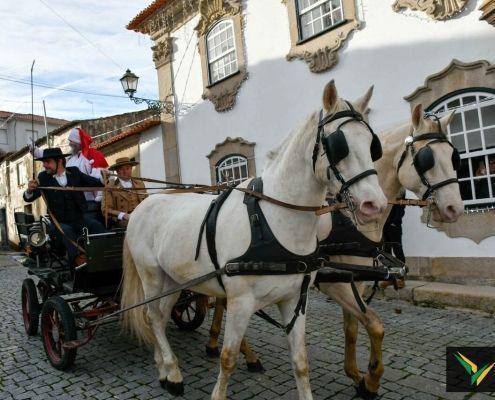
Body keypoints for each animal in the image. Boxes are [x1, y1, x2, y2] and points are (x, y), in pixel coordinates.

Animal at [120, 81, 388, 400]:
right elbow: (228, 358)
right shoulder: (241, 301)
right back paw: (173, 373)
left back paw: (164, 369)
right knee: (152, 318)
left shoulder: (295, 300)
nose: (375, 204)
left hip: (175, 280)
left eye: (372, 145)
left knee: (159, 318)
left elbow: (301, 362)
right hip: (152, 277)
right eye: (338, 145)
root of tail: (142, 206)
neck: (275, 220)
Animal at [318, 104, 464, 400]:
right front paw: (372, 379)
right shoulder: (331, 281)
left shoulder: (355, 280)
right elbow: (375, 326)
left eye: (453, 156)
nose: (455, 208)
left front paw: (355, 375)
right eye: (426, 159)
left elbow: (352, 328)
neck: (348, 219)